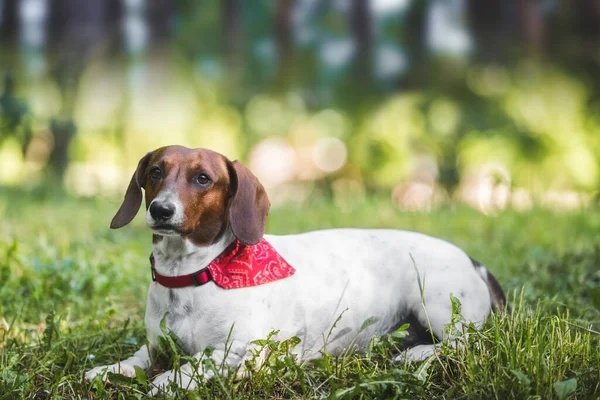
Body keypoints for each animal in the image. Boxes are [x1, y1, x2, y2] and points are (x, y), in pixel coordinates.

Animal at [85, 145, 506, 396]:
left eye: (203, 178)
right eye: (156, 172)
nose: (161, 210)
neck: (193, 275)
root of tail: (475, 263)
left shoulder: (243, 351)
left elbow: (196, 364)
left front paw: (167, 381)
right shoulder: (158, 345)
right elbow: (139, 358)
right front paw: (111, 368)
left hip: (436, 303)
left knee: (467, 344)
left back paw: (416, 355)